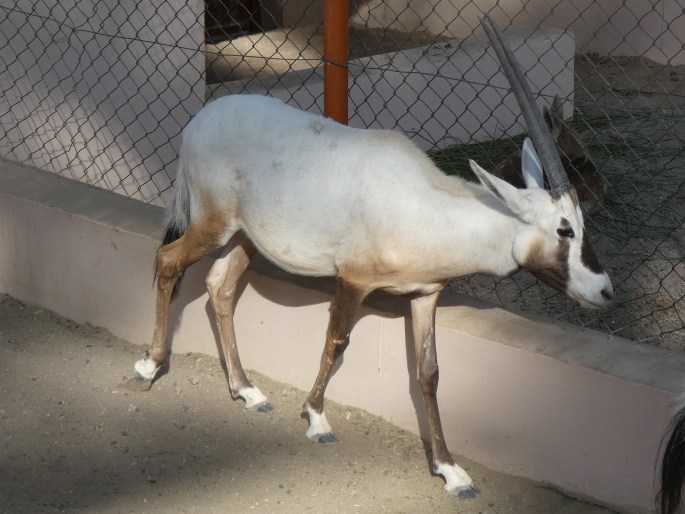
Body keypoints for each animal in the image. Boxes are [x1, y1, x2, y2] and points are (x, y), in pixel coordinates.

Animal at [131, 18, 612, 498]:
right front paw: (317, 419)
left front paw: (451, 471)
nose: (605, 290)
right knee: (169, 260)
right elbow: (336, 341)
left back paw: (246, 390)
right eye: (564, 230)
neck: (433, 207)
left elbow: (429, 373)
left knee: (220, 286)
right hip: (213, 226)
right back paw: (150, 366)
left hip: (244, 237)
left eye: (581, 224)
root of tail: (199, 121)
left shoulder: (425, 295)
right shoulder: (353, 280)